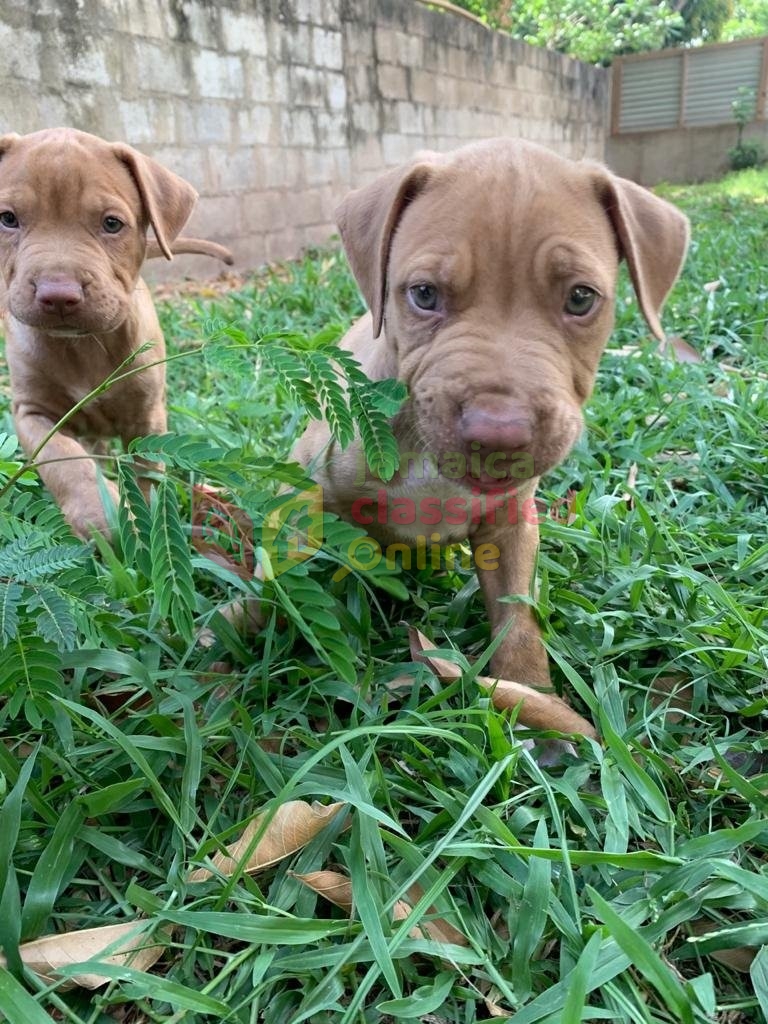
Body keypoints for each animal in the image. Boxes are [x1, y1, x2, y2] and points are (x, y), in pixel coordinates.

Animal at [0, 125, 228, 536]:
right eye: (7, 219)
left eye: (111, 224)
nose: (58, 295)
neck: (83, 348)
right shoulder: (30, 412)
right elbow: (65, 459)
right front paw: (99, 514)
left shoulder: (148, 416)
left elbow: (148, 474)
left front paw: (147, 521)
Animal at [296, 138, 692, 688]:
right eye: (423, 294)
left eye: (580, 298)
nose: (498, 435)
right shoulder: (312, 483)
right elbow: (277, 574)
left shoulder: (511, 525)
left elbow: (517, 620)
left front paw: (532, 697)